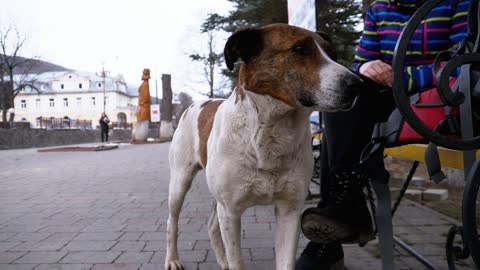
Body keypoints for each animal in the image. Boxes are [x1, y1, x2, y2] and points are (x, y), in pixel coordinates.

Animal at [165, 23, 360, 270]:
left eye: (332, 54)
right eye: (301, 49)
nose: (359, 85)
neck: (272, 131)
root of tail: (198, 103)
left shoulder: (289, 210)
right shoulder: (230, 211)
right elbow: (236, 261)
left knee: (211, 224)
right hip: (180, 182)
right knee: (171, 222)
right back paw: (172, 260)